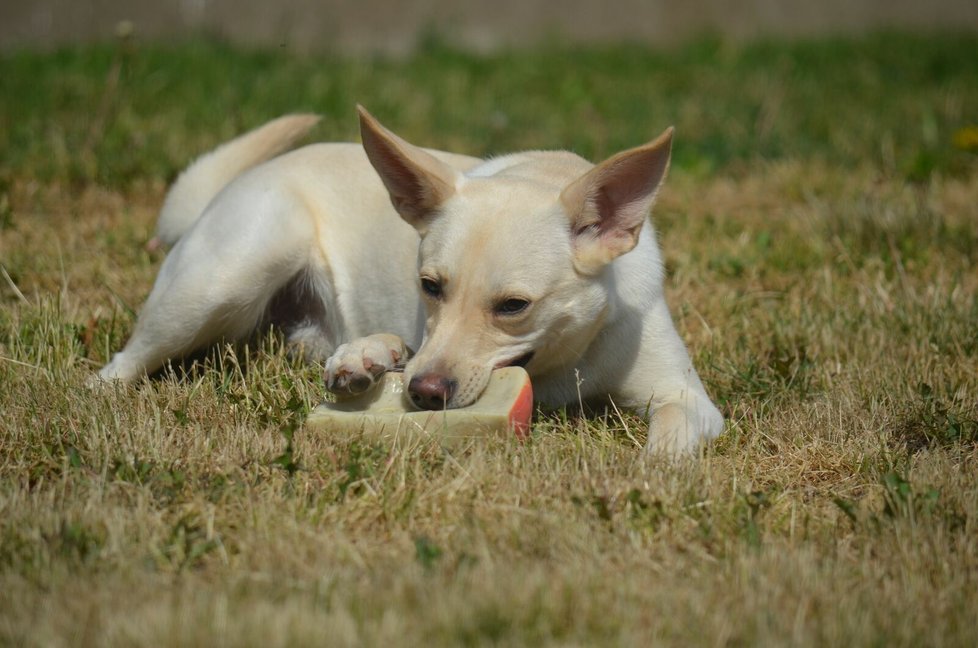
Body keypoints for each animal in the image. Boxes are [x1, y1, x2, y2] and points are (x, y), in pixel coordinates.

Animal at [97, 106, 724, 456]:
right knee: (119, 367)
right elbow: (400, 345)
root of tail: (241, 180)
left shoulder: (686, 397)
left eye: (513, 306)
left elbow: (669, 437)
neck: (564, 363)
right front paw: (367, 359)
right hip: (220, 283)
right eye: (429, 286)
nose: (424, 394)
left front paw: (651, 472)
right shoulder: (424, 338)